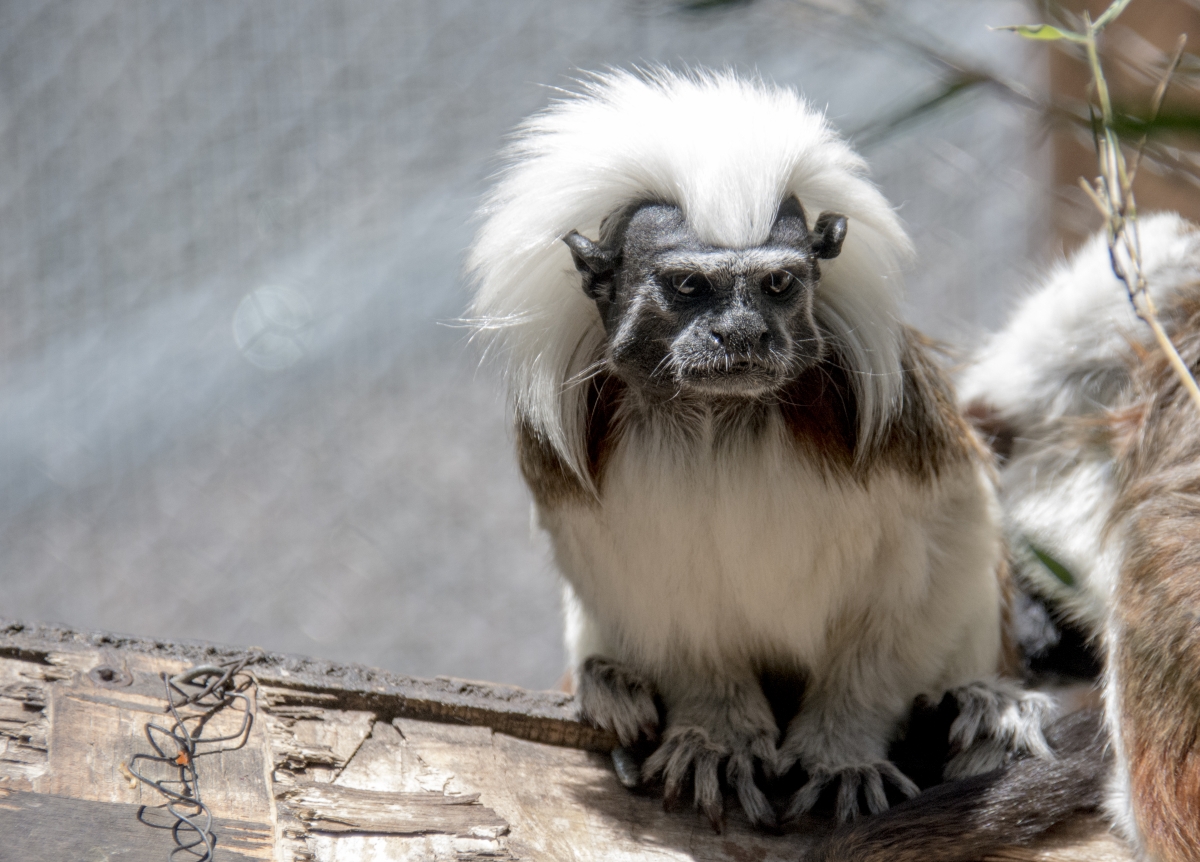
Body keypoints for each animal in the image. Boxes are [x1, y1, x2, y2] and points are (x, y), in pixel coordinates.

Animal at [466, 69, 1052, 830]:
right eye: (690, 287)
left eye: (777, 285)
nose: (742, 333)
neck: (721, 420)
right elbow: (656, 598)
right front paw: (718, 738)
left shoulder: (904, 428)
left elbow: (937, 555)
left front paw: (842, 752)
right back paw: (612, 688)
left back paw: (983, 711)